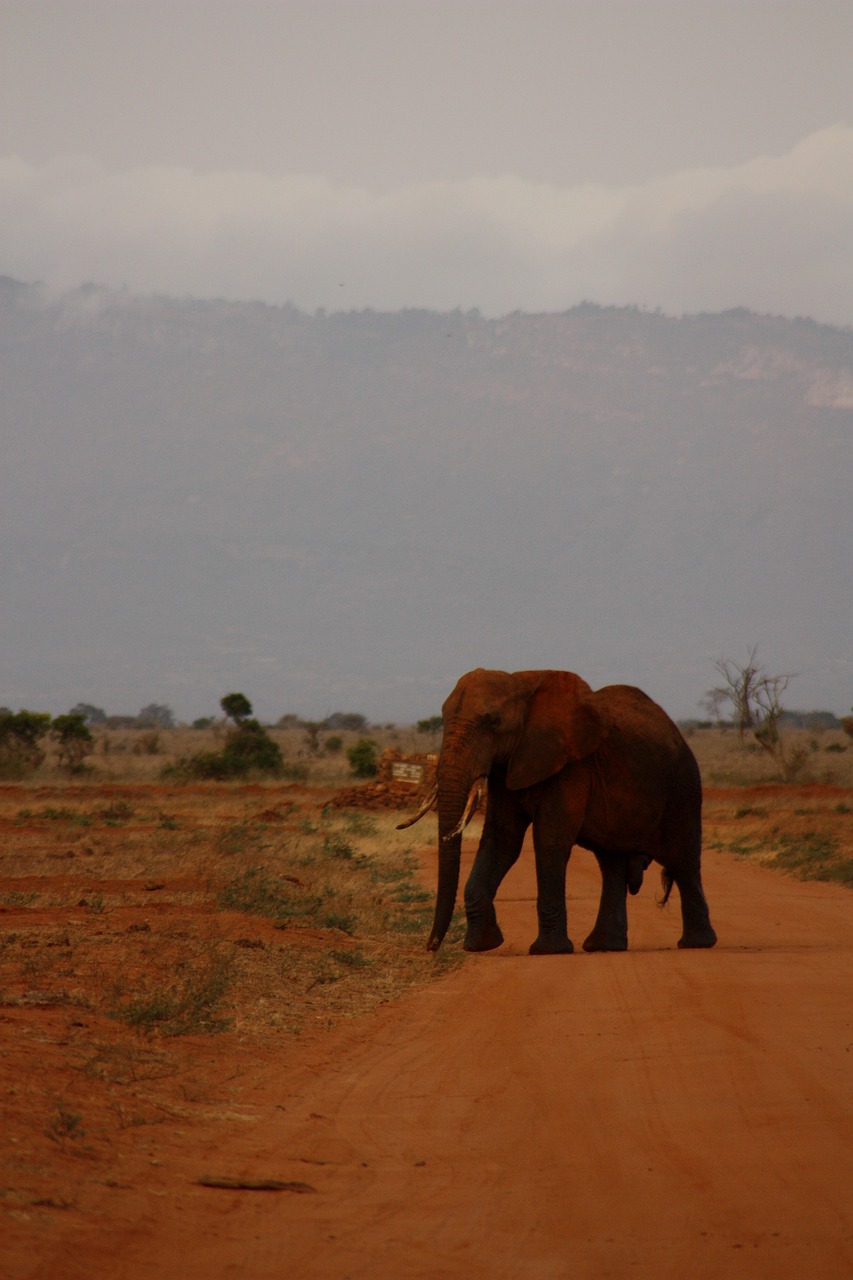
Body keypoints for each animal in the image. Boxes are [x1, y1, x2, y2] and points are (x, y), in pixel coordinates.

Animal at [394, 665, 712, 957]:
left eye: (493, 722)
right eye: (443, 720)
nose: (430, 946)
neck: (521, 685)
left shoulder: (570, 764)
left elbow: (549, 840)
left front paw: (548, 950)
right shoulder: (508, 765)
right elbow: (501, 840)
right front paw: (481, 945)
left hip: (684, 786)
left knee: (683, 859)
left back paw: (696, 943)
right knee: (612, 863)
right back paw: (603, 946)